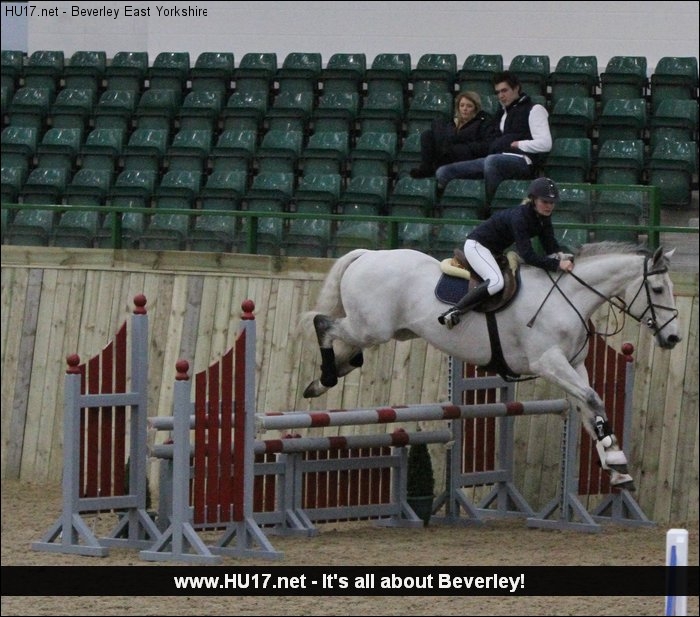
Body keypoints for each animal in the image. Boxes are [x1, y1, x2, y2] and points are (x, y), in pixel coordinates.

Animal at [304, 243, 680, 488]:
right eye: (658, 289)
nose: (674, 338)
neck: (567, 299)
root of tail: (367, 255)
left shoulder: (575, 366)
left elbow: (591, 407)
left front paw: (617, 467)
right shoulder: (548, 363)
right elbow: (591, 399)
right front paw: (615, 458)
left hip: (385, 331)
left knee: (351, 353)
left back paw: (319, 382)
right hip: (371, 328)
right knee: (324, 324)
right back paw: (324, 378)